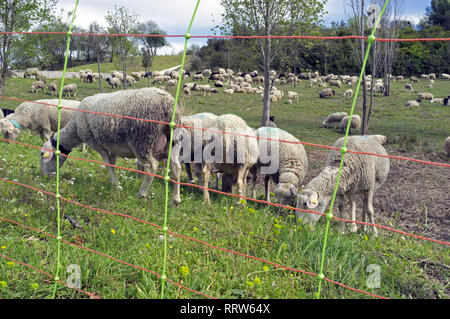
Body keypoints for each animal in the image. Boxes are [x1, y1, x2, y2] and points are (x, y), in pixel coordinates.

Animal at [38, 86, 179, 204]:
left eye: (42, 154)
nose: (44, 176)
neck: (74, 128)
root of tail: (167, 103)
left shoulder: (97, 145)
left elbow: (108, 163)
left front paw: (115, 184)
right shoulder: (111, 146)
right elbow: (113, 163)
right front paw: (115, 181)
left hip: (143, 139)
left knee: (151, 166)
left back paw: (141, 194)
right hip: (174, 141)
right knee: (175, 166)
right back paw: (175, 201)